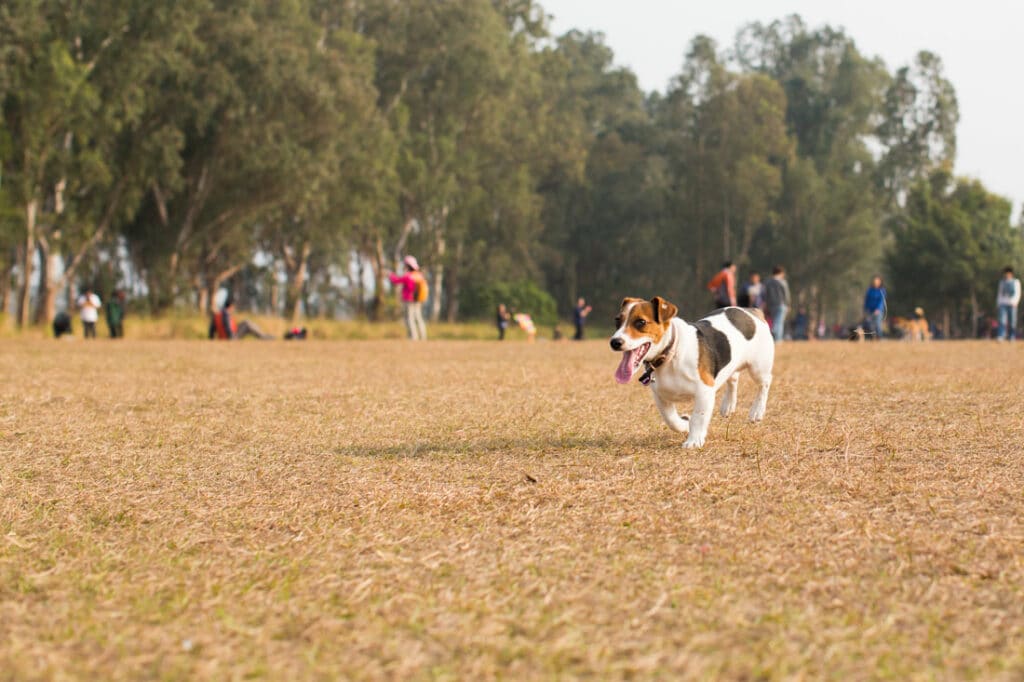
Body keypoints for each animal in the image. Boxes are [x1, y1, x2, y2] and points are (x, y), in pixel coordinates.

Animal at [606, 296, 774, 446]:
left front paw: (693, 441)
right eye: (617, 320)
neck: (671, 353)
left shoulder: (704, 391)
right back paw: (728, 405)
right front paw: (684, 423)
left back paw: (757, 411)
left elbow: (699, 418)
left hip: (758, 368)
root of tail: (752, 311)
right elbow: (671, 419)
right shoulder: (660, 397)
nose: (614, 342)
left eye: (641, 322)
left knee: (764, 384)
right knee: (733, 379)